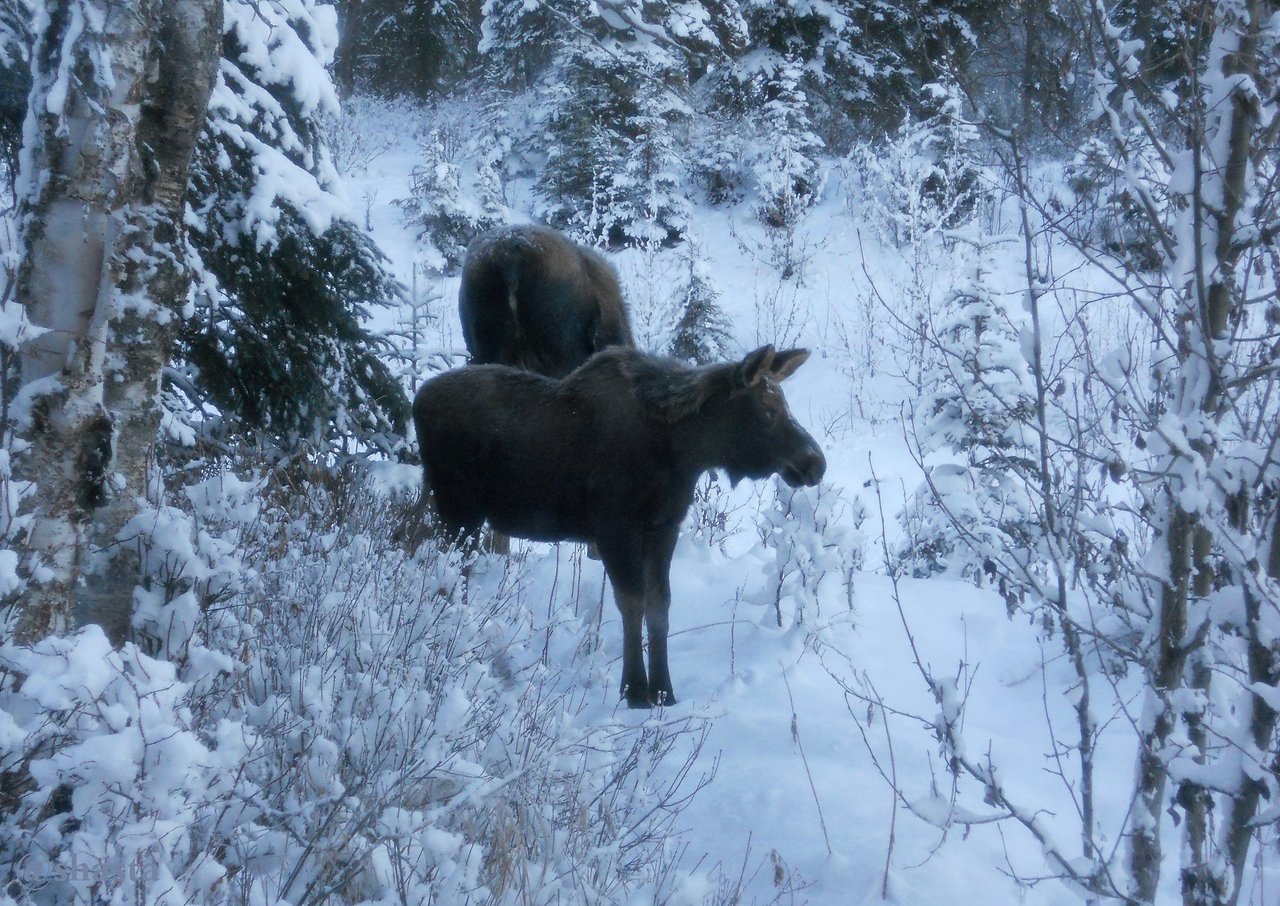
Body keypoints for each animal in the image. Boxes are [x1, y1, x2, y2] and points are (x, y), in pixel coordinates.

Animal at [414, 342, 824, 706]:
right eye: (768, 409)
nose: (815, 463)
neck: (683, 454)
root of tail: (417, 400)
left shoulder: (664, 527)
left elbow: (660, 605)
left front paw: (665, 691)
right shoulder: (615, 529)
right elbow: (632, 602)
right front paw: (635, 691)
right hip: (458, 509)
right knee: (450, 573)